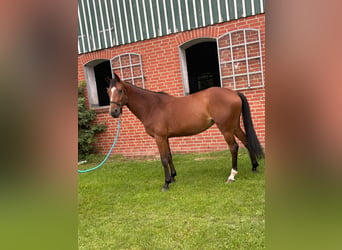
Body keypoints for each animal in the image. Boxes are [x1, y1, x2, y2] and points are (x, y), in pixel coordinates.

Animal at [105, 73, 264, 190]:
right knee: (246, 141)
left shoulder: (159, 137)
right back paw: (254, 167)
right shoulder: (165, 138)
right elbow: (169, 156)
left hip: (226, 128)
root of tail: (234, 93)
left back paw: (232, 176)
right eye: (108, 92)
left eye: (120, 90)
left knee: (234, 147)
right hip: (234, 126)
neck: (152, 106)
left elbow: (163, 159)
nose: (113, 112)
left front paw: (166, 183)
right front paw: (173, 177)